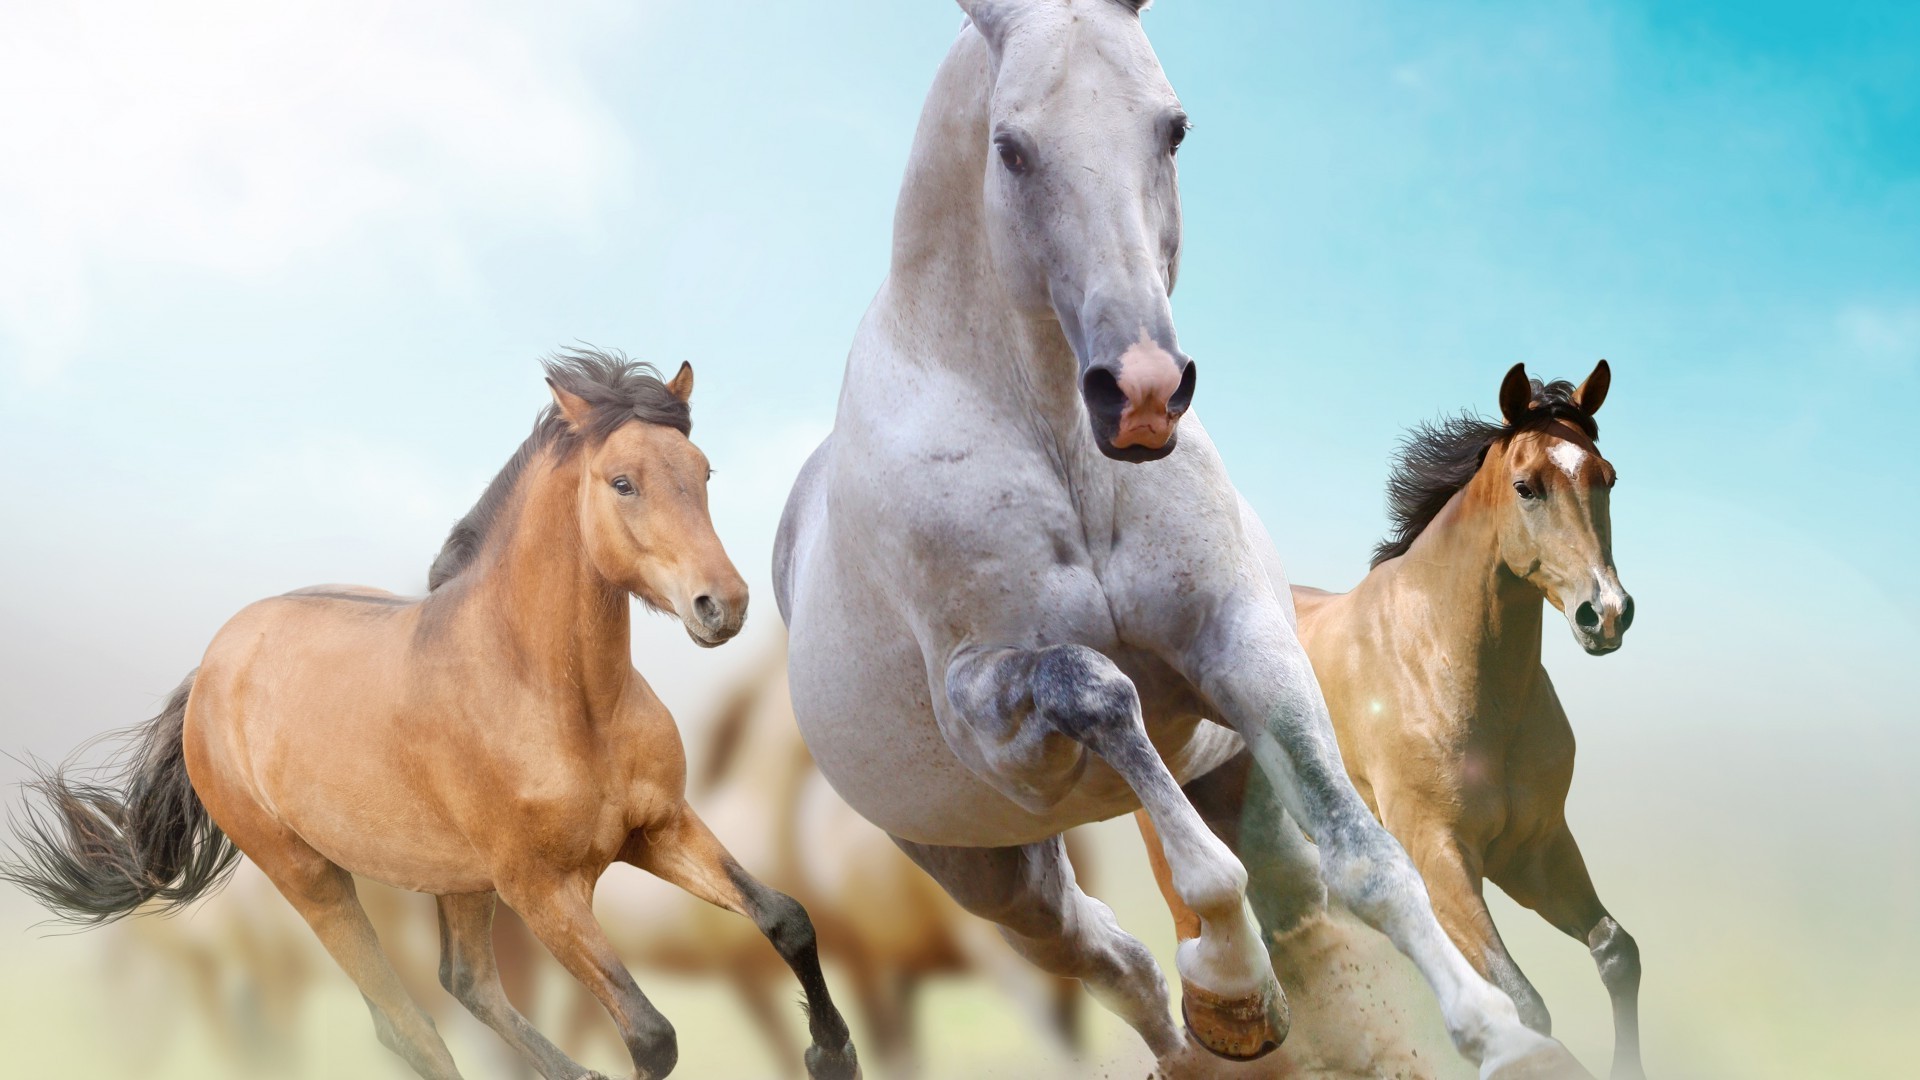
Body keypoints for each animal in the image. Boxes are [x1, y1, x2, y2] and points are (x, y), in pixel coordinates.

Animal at [0, 349, 856, 1076]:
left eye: (703, 471)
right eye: (622, 481)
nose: (724, 605)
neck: (560, 699)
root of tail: (212, 670)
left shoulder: (660, 829)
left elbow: (786, 917)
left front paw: (832, 1054)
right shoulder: (543, 889)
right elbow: (651, 1034)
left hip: (457, 879)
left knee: (467, 983)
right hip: (314, 880)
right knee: (407, 1025)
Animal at [771, 2, 1582, 1076]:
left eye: (1173, 128)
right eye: (1009, 146)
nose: (1143, 392)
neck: (1061, 444)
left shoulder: (1242, 646)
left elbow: (1367, 859)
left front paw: (1499, 1037)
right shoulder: (994, 720)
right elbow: (1105, 700)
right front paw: (1230, 979)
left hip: (1234, 780)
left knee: (1282, 901)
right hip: (994, 876)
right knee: (1108, 957)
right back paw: (1219, 1017)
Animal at [1144, 363, 1643, 1076]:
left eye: (1606, 476)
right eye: (1526, 487)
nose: (1604, 613)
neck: (1443, 666)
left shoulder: (1535, 848)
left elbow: (1615, 951)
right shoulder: (1439, 856)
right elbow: (1524, 1003)